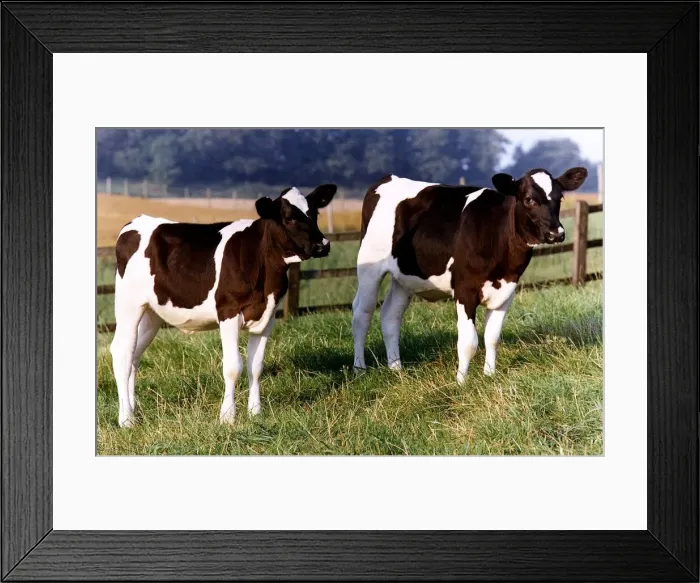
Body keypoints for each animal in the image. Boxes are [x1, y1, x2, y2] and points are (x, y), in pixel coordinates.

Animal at [110, 184, 337, 427]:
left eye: (315, 213)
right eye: (288, 218)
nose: (322, 245)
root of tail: (136, 223)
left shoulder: (268, 316)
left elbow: (256, 367)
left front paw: (255, 412)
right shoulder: (228, 311)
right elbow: (233, 367)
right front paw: (227, 416)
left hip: (152, 313)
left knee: (134, 356)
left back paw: (133, 410)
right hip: (129, 304)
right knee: (122, 352)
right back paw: (126, 419)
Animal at [351, 168, 588, 383]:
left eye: (559, 197)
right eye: (529, 199)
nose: (556, 233)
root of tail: (387, 178)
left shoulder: (507, 292)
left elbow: (492, 337)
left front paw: (489, 375)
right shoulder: (465, 290)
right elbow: (468, 342)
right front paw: (461, 382)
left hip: (404, 277)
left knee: (390, 315)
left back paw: (396, 369)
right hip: (369, 266)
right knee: (362, 314)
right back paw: (359, 369)